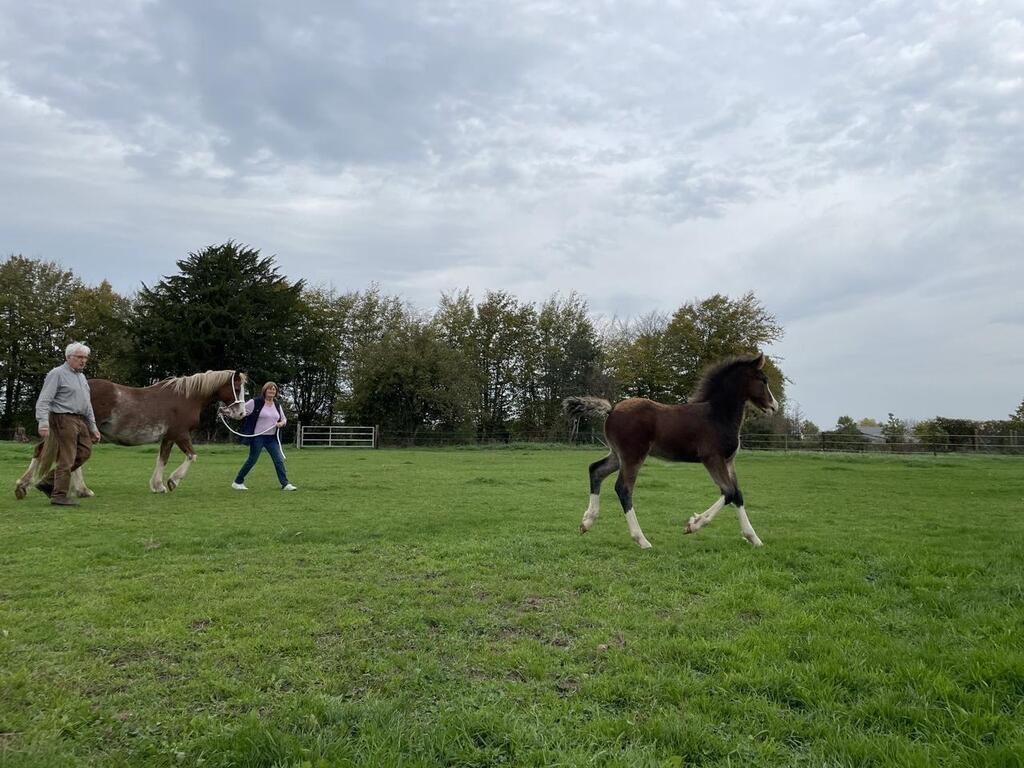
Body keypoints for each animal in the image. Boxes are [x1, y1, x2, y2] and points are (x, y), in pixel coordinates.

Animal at [17, 370, 248, 499]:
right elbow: (192, 456)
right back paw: (81, 490)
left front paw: (158, 486)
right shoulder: (180, 434)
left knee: (43, 451)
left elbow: (162, 459)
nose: (241, 413)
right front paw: (172, 481)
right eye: (237, 387)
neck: (186, 397)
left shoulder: (168, 438)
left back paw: (25, 485)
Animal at [569, 356, 774, 552]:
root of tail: (611, 410)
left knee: (596, 470)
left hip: (617, 455)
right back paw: (642, 540)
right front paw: (693, 525)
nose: (774, 406)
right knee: (623, 489)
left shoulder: (729, 461)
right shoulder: (712, 458)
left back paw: (587, 522)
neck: (717, 415)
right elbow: (729, 492)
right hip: (633, 456)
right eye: (763, 380)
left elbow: (737, 494)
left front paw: (754, 538)